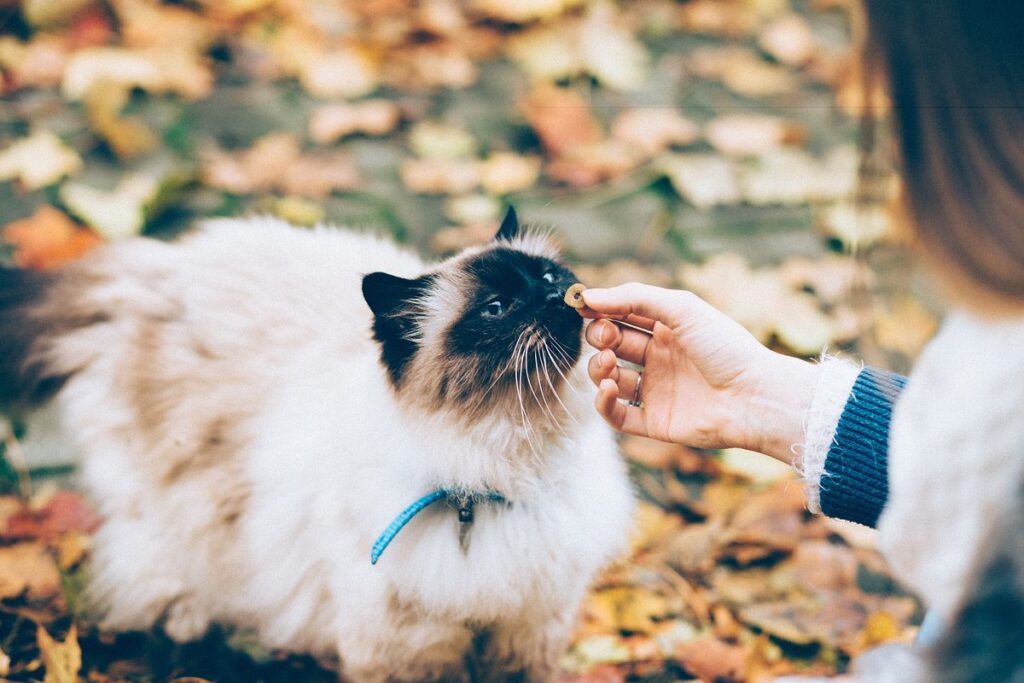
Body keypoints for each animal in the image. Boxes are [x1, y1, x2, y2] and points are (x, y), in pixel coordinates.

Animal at [0, 209, 634, 683]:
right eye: (497, 309)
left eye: (548, 278)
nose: (558, 297)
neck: (501, 473)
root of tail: (154, 268)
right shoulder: (409, 647)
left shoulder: (528, 629)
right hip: (176, 510)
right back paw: (189, 623)